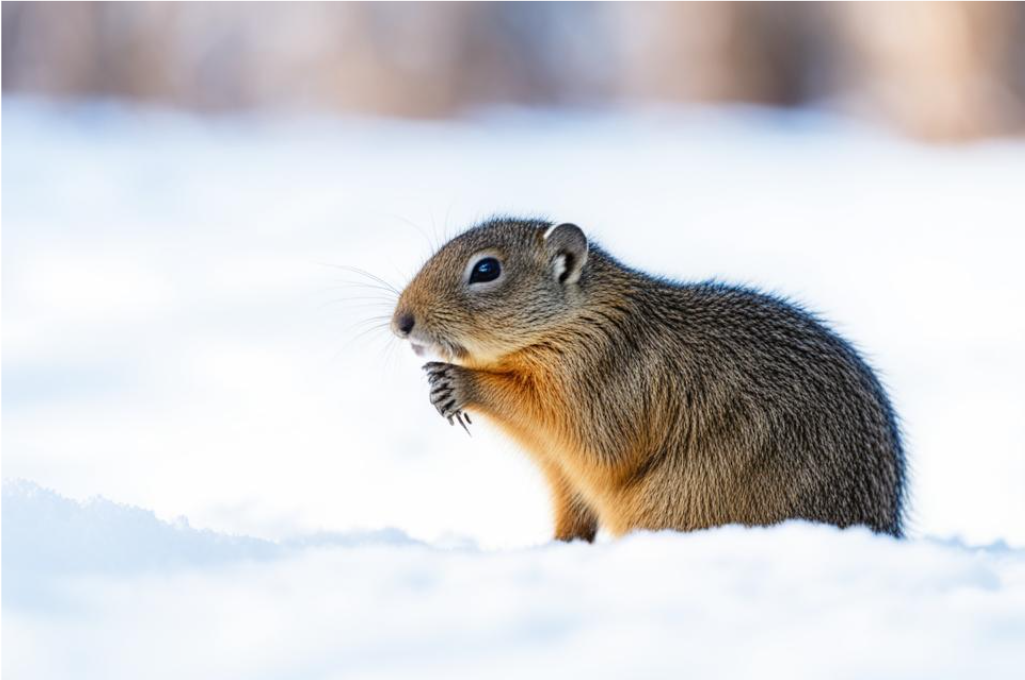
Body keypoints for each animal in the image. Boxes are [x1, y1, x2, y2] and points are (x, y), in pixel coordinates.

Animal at [389, 215, 906, 541]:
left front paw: (460, 382)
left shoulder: (601, 393)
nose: (401, 323)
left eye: (486, 269)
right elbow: (571, 518)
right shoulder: (561, 472)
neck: (579, 323)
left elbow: (589, 440)